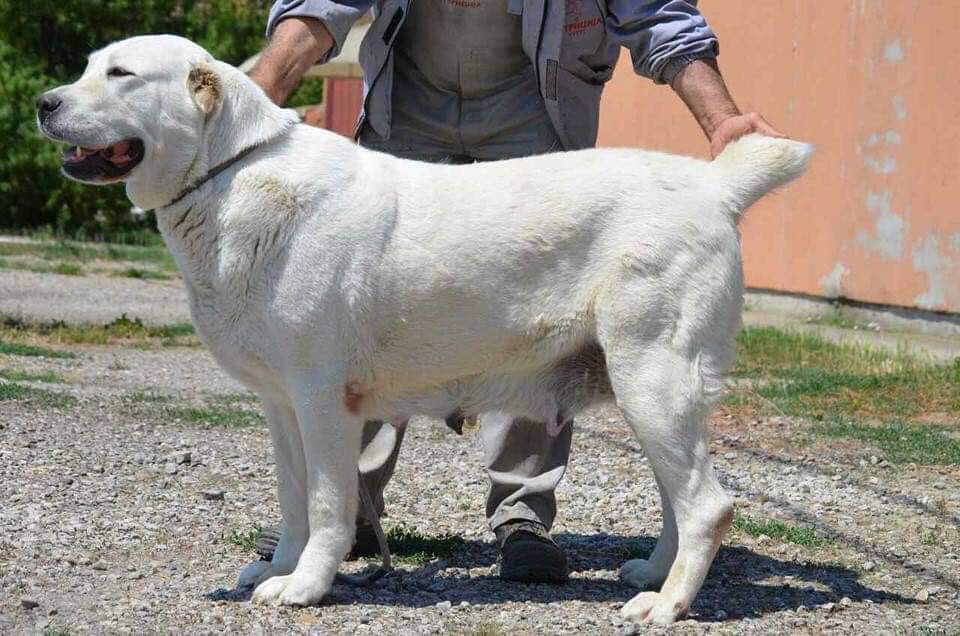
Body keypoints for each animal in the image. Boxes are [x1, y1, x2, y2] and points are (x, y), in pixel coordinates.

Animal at [41, 36, 812, 628]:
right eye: (87, 67)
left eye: (121, 75)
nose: (45, 103)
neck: (228, 178)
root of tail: (713, 185)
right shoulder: (282, 406)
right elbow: (292, 499)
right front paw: (280, 567)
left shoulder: (323, 401)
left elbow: (327, 503)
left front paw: (306, 586)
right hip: (649, 393)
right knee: (678, 498)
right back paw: (651, 572)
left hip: (654, 378)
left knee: (708, 504)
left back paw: (667, 605)